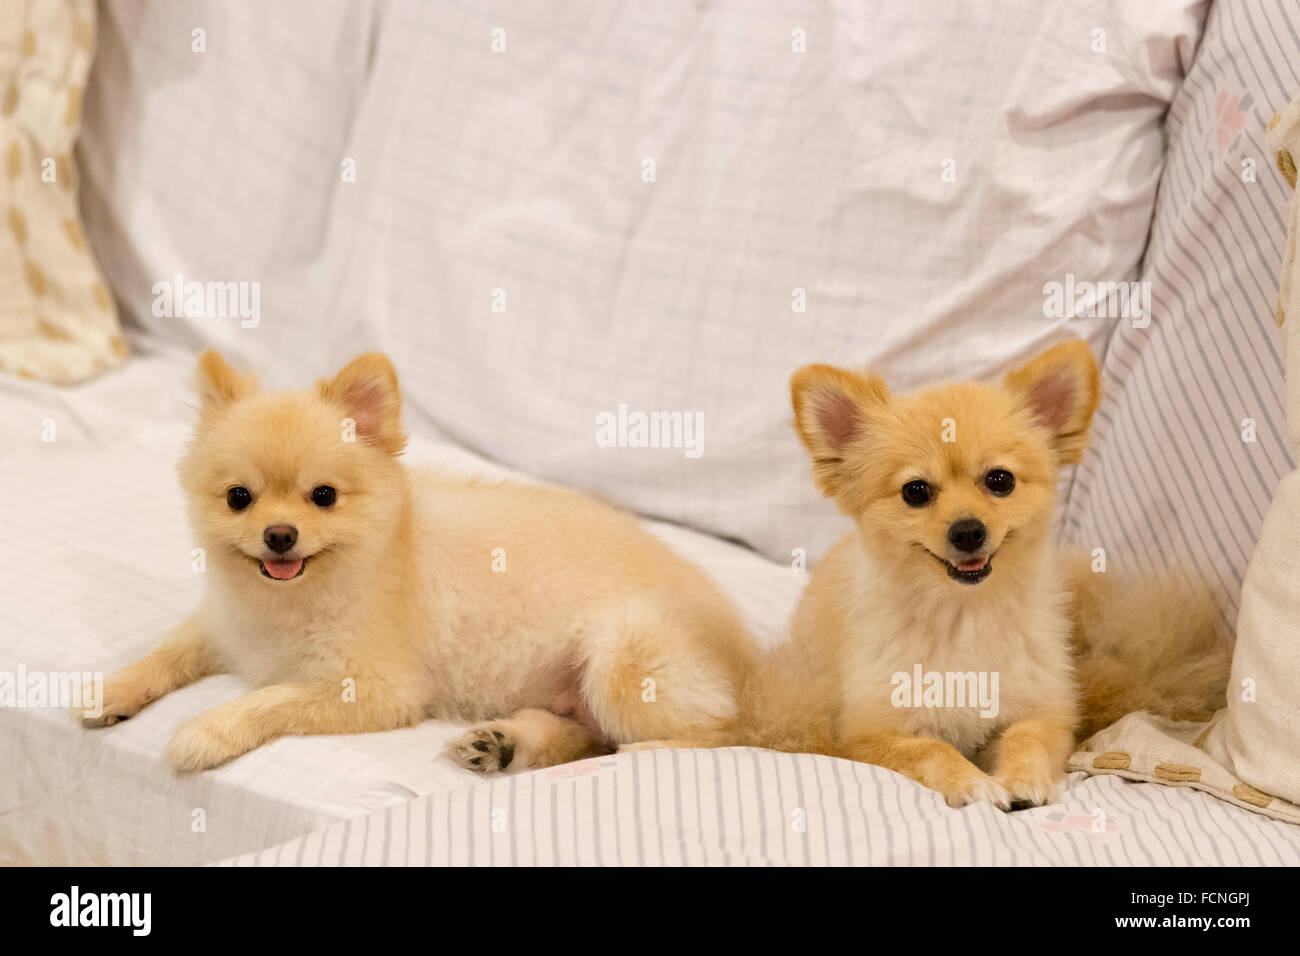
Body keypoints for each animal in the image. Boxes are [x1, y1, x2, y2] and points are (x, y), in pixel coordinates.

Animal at [76, 348, 759, 770]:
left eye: (323, 496)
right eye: (238, 498)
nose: (279, 535)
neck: (289, 601)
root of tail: (744, 651)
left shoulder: (376, 691)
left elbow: (270, 700)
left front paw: (205, 732)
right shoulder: (219, 625)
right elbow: (165, 652)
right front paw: (112, 687)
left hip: (624, 657)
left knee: (719, 733)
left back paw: (640, 757)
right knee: (580, 735)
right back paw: (504, 745)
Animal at [754, 340, 1227, 811]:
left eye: (1000, 480)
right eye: (915, 491)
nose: (967, 530)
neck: (964, 615)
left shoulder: (1042, 712)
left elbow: (1026, 738)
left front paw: (1025, 779)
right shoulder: (869, 735)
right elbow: (933, 749)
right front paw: (973, 783)